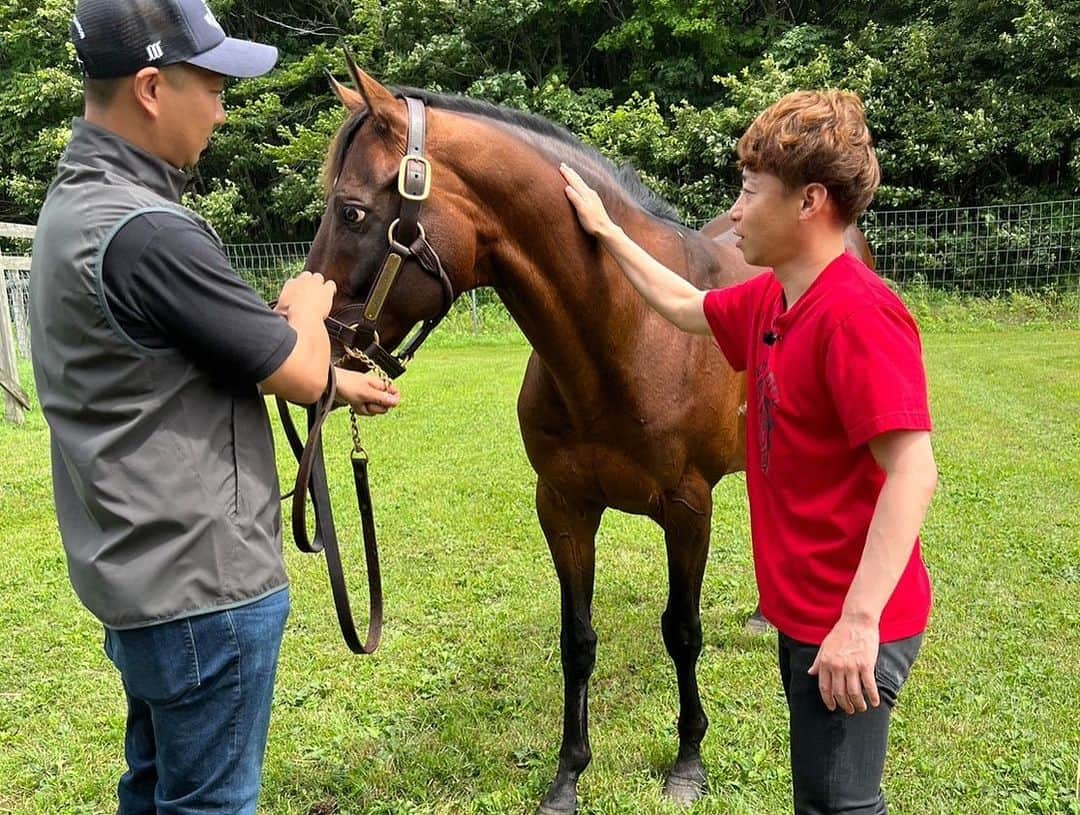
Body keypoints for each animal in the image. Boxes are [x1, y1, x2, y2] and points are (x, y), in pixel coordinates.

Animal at [306, 59, 876, 815]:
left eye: (351, 211)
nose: (320, 348)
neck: (627, 331)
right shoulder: (564, 506)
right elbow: (576, 638)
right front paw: (568, 773)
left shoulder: (686, 510)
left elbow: (682, 630)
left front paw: (687, 760)